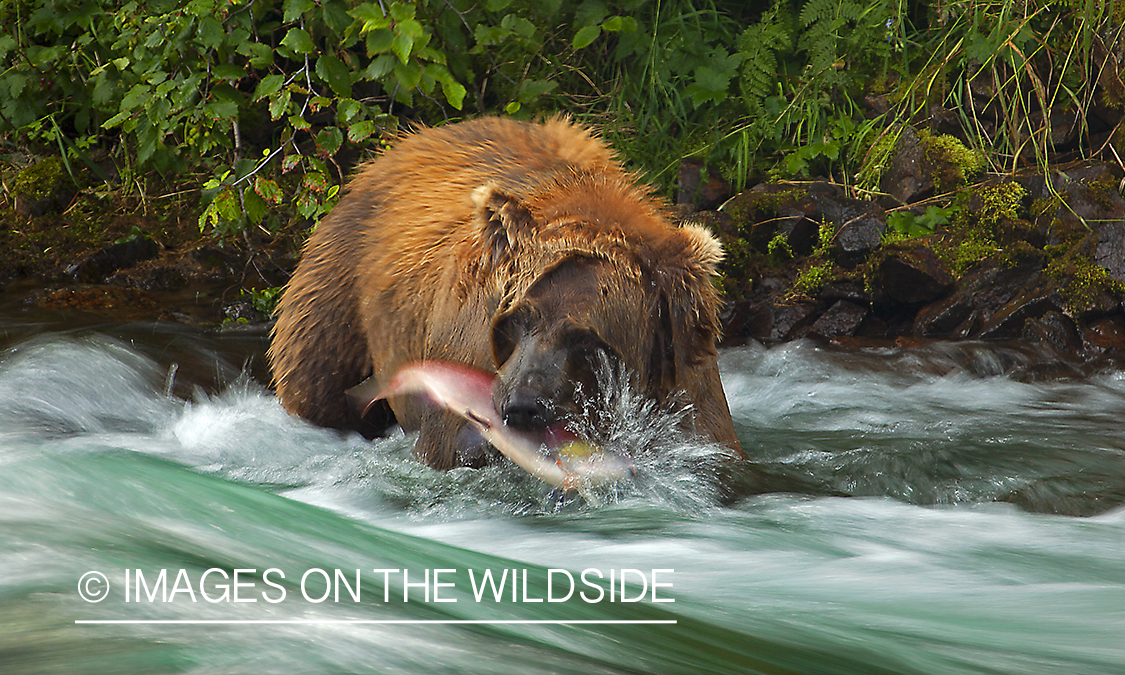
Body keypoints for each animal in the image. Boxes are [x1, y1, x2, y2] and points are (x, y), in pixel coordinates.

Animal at [268, 116, 743, 469]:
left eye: (584, 338)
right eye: (518, 318)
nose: (522, 406)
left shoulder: (683, 386)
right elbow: (445, 445)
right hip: (341, 280)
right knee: (316, 372)